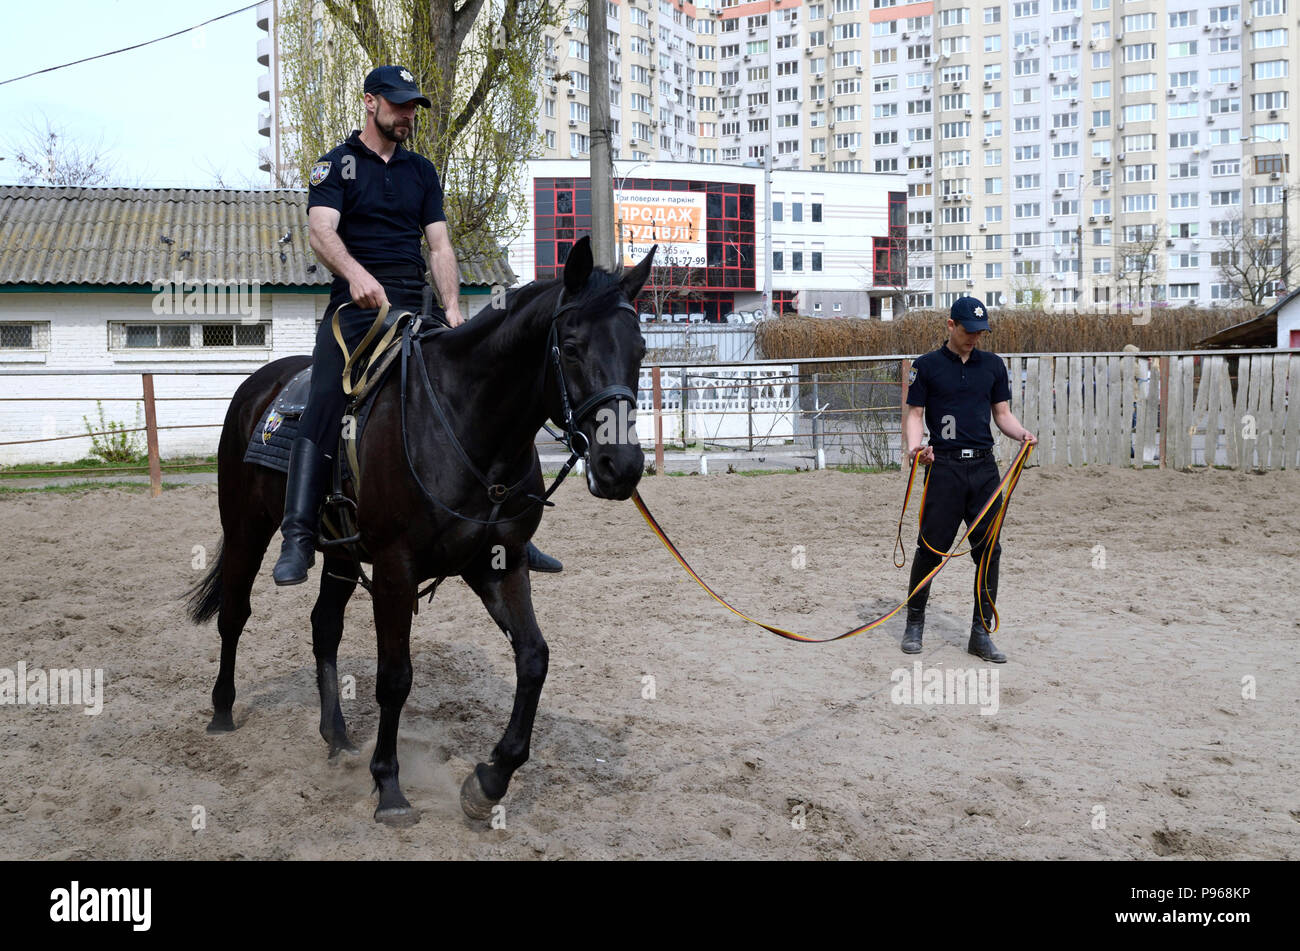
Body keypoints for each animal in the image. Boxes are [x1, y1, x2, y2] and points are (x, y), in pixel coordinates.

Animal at [185, 236, 653, 824]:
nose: (622, 467)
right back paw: (222, 712)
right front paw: (389, 786)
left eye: (640, 349)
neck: (464, 425)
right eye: (570, 346)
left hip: (340, 555)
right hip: (247, 527)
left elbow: (534, 659)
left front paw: (490, 780)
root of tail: (257, 388)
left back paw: (337, 736)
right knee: (235, 613)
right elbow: (395, 677)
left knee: (324, 627)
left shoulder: (500, 563)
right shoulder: (394, 569)